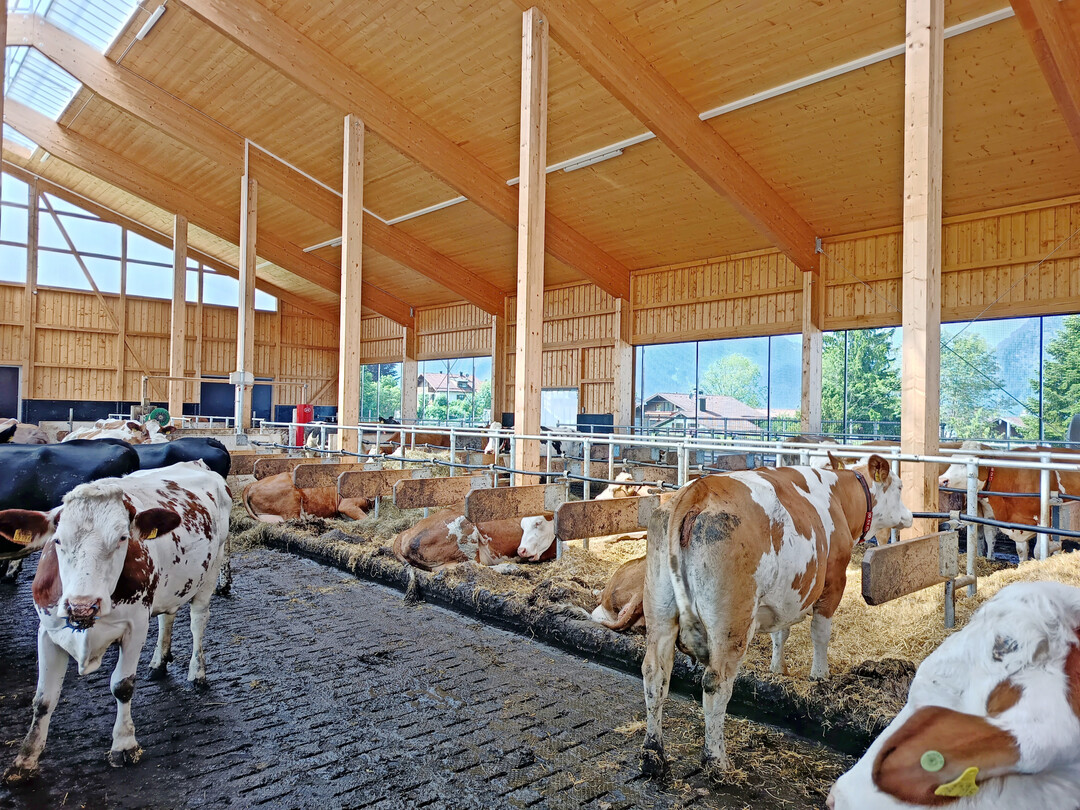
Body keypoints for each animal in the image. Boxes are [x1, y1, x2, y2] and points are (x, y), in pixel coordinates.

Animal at [0, 461, 231, 784]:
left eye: (122, 538)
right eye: (57, 540)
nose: (82, 605)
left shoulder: (135, 628)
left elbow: (122, 686)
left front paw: (124, 745)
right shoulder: (47, 632)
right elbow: (43, 699)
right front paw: (25, 759)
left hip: (211, 570)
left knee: (198, 621)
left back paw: (197, 673)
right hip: (171, 583)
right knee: (167, 617)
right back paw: (159, 663)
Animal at [640, 455, 913, 777]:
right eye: (900, 486)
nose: (910, 516)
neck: (840, 497)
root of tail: (698, 489)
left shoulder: (786, 595)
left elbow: (781, 632)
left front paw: (777, 669)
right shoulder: (834, 580)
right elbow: (821, 633)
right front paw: (819, 675)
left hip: (659, 609)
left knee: (654, 673)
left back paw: (653, 753)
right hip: (732, 622)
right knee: (716, 683)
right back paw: (717, 760)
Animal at [938, 442, 1080, 561]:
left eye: (964, 464)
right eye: (952, 461)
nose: (942, 480)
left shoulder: (1044, 520)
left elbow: (1039, 551)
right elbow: (1021, 551)